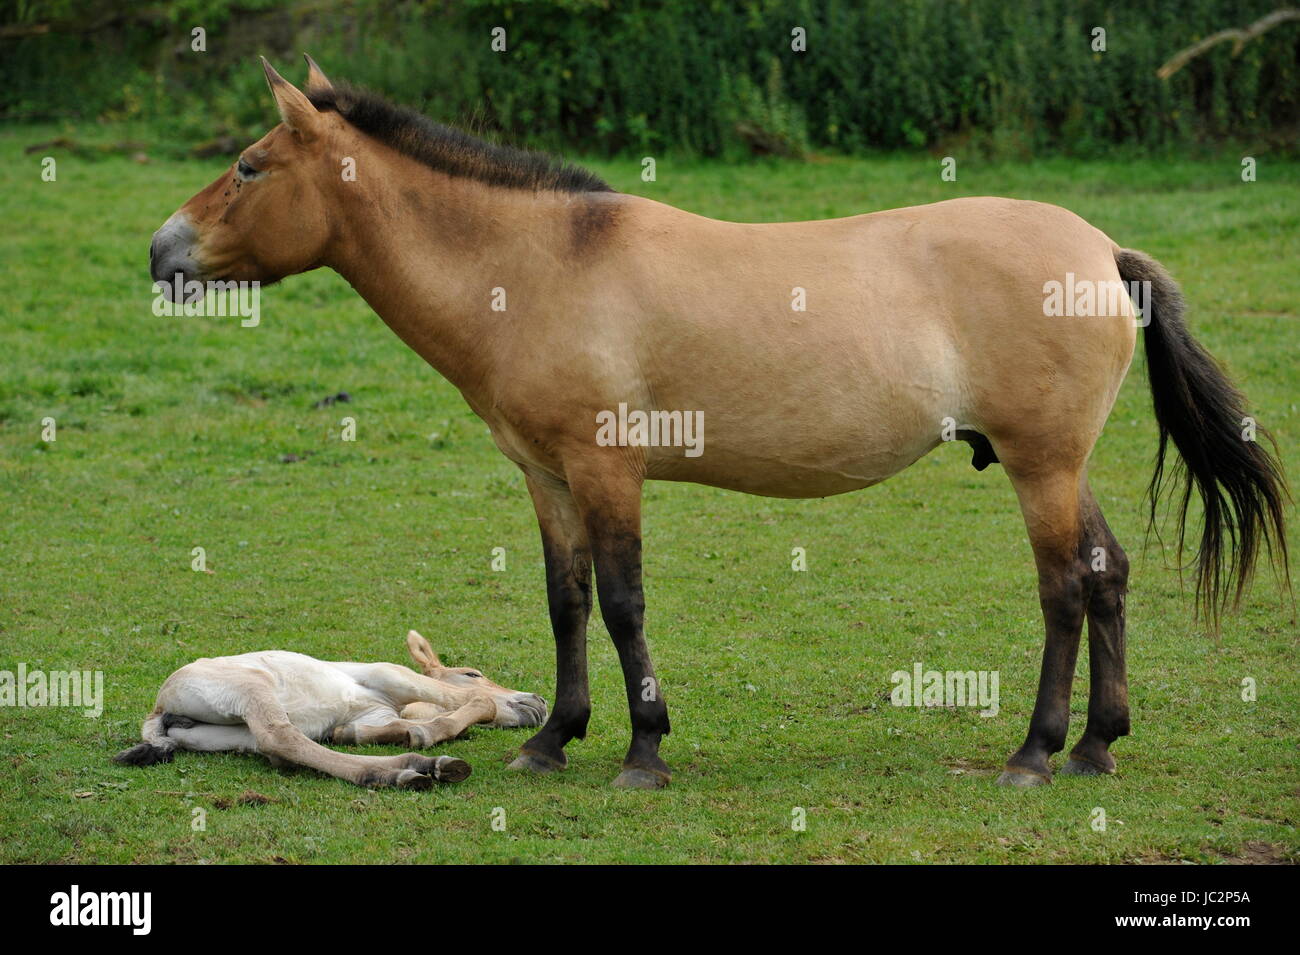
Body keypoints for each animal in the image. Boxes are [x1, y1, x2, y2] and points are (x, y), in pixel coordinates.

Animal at [113, 631, 547, 788]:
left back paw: (414, 768)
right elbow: (476, 703)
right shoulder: (392, 675)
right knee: (281, 738)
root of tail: (158, 708)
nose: (538, 702)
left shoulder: (376, 716)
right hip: (252, 688)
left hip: (227, 734)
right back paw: (405, 772)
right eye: (472, 673)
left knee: (281, 750)